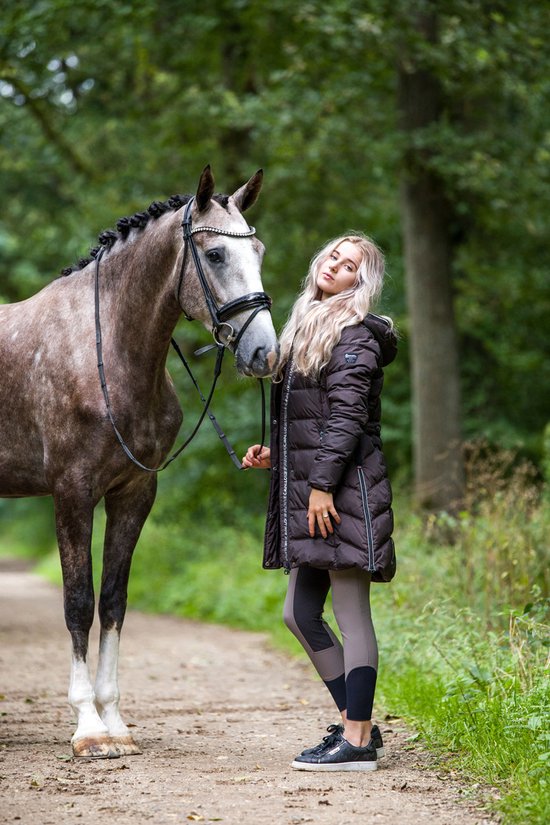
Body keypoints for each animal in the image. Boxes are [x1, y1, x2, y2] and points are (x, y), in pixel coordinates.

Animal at [0, 166, 279, 758]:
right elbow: (78, 602)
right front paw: (87, 727)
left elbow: (113, 600)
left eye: (259, 250)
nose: (265, 353)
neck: (106, 351)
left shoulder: (133, 494)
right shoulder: (72, 493)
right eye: (215, 254)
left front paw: (114, 722)